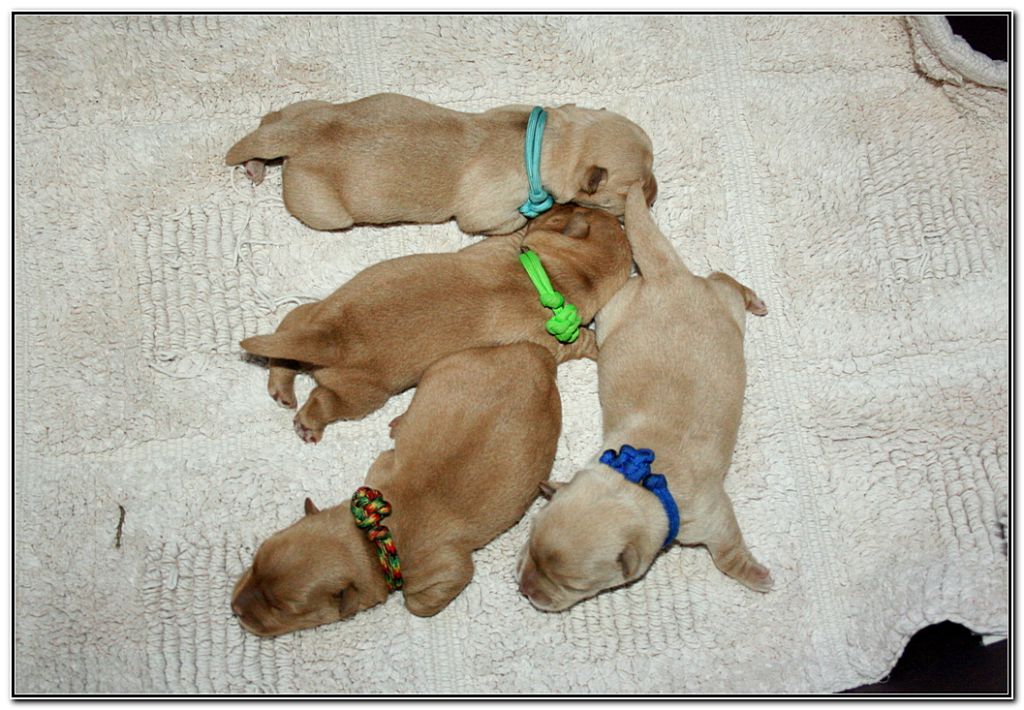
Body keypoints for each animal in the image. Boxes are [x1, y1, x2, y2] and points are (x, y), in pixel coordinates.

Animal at [225, 93, 657, 235]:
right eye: (632, 190)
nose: (654, 195)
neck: (547, 141)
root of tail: (299, 138)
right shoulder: (483, 215)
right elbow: (514, 220)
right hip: (325, 210)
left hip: (310, 109)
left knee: (274, 116)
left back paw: (256, 163)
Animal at [231, 342, 562, 636]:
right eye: (256, 559)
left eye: (285, 609)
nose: (235, 610)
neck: (369, 538)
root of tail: (537, 355)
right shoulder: (382, 468)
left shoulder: (446, 568)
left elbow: (422, 602)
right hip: (448, 364)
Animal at [240, 204, 632, 443]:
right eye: (580, 209)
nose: (555, 202)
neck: (561, 277)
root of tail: (327, 336)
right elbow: (584, 341)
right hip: (362, 396)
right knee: (323, 401)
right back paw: (308, 423)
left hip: (309, 314)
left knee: (285, 342)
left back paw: (282, 388)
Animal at [517, 183, 772, 612]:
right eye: (529, 546)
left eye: (573, 584)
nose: (524, 589)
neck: (637, 480)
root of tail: (666, 275)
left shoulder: (714, 516)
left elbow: (727, 553)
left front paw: (755, 576)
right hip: (615, 313)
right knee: (718, 277)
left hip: (719, 306)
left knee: (724, 280)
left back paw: (754, 299)